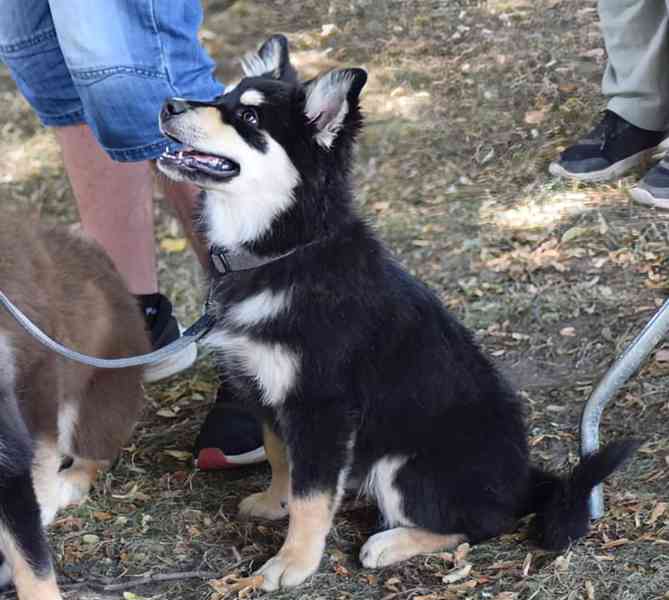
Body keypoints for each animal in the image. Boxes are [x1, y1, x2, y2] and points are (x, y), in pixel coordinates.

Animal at [157, 34, 636, 592]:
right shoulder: (265, 389)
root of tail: (526, 482)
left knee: (482, 524)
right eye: (223, 98)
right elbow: (281, 460)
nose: (167, 106)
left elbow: (312, 494)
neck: (282, 249)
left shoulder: (322, 407)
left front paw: (292, 563)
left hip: (401, 465)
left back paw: (390, 542)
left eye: (250, 118)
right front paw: (275, 504)